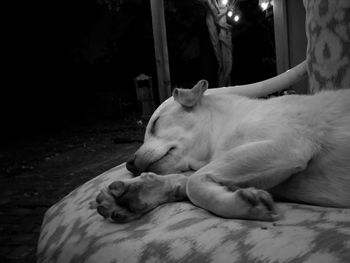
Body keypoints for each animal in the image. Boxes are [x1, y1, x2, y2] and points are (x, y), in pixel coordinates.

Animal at [94, 63, 348, 224]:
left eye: (155, 123)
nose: (129, 164)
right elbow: (184, 180)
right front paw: (137, 191)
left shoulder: (287, 146)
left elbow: (193, 184)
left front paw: (241, 205)